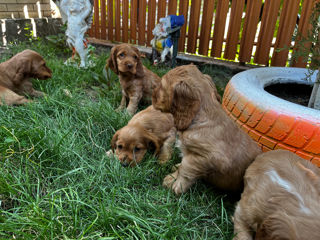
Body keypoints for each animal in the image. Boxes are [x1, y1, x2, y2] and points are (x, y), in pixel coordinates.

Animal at [151, 64, 262, 195]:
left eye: (161, 86)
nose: (152, 94)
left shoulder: (210, 157)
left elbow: (186, 167)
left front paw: (177, 185)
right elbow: (182, 164)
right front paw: (173, 175)